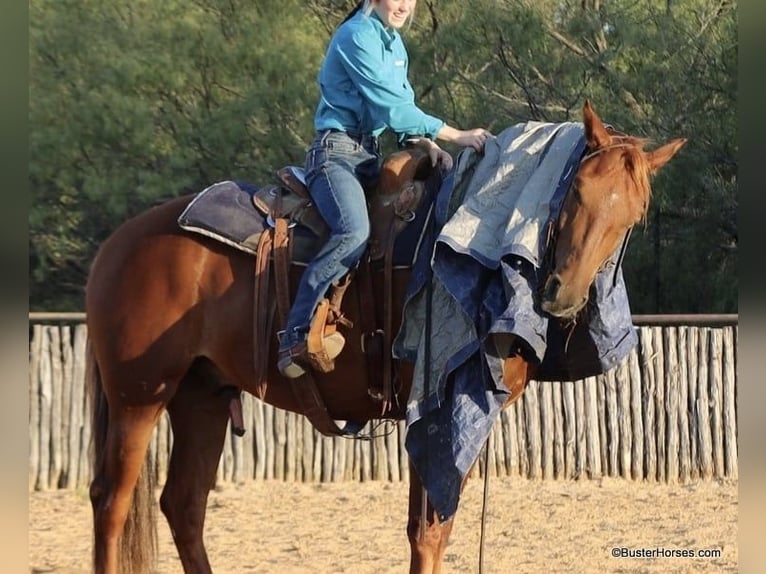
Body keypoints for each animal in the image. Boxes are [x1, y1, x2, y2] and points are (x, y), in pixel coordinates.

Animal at [85, 101, 688, 572]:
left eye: (634, 212)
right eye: (577, 190)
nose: (562, 293)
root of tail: (117, 243)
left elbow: (435, 531)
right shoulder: (434, 404)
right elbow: (426, 534)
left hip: (201, 396)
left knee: (182, 505)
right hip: (139, 395)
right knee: (112, 502)